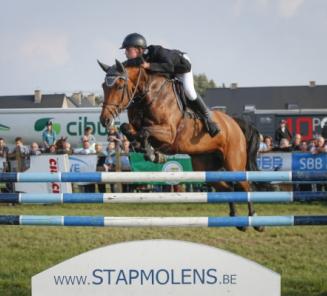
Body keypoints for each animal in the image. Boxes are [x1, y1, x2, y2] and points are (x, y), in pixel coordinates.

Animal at [98, 59, 266, 231]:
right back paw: (237, 220)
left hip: (234, 163)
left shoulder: (169, 133)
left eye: (119, 86)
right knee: (228, 188)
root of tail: (235, 123)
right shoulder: (138, 127)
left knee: (245, 186)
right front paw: (146, 150)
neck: (149, 94)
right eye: (104, 86)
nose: (104, 120)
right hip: (206, 167)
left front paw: (152, 153)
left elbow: (144, 131)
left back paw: (255, 221)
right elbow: (127, 128)